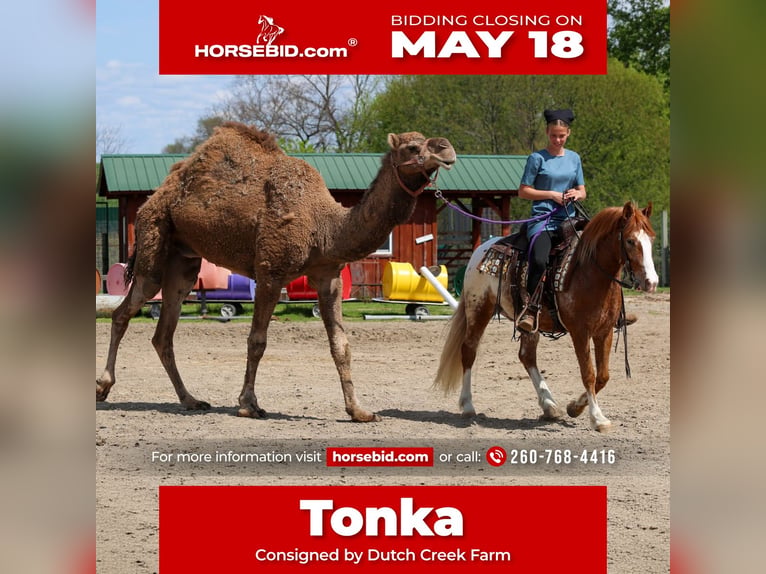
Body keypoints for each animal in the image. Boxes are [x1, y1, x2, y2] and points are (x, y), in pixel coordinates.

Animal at [433, 201, 659, 432]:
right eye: (630, 240)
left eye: (651, 239)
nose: (651, 282)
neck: (590, 273)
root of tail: (481, 250)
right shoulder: (580, 332)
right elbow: (588, 373)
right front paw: (597, 418)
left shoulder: (604, 331)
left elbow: (603, 376)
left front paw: (574, 407)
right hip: (478, 309)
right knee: (469, 350)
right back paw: (468, 405)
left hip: (528, 323)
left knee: (527, 356)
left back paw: (549, 406)